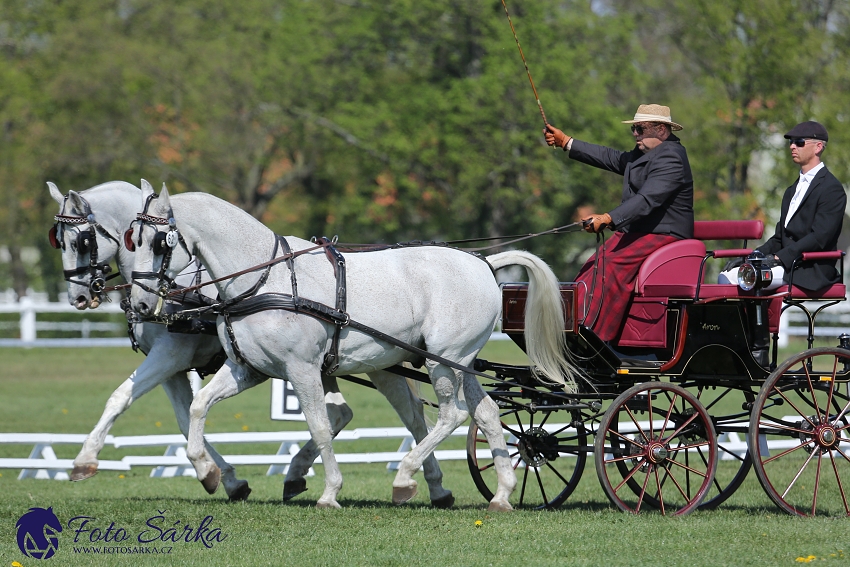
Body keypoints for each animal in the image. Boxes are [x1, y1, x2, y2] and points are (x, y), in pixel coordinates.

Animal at [49, 181, 454, 506]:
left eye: (82, 240)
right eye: (60, 241)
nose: (79, 297)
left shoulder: (170, 355)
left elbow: (122, 398)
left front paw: (85, 460)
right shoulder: (176, 369)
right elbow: (183, 417)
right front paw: (220, 476)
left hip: (378, 365)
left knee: (410, 417)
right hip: (359, 365)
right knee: (378, 415)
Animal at [127, 183, 576, 510]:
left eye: (160, 242)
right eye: (132, 239)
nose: (140, 305)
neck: (266, 279)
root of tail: (483, 262)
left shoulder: (302, 369)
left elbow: (320, 427)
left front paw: (329, 492)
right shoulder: (247, 369)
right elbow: (199, 407)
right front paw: (207, 472)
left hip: (445, 361)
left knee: (452, 414)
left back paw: (405, 478)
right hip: (459, 363)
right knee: (485, 413)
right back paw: (501, 494)